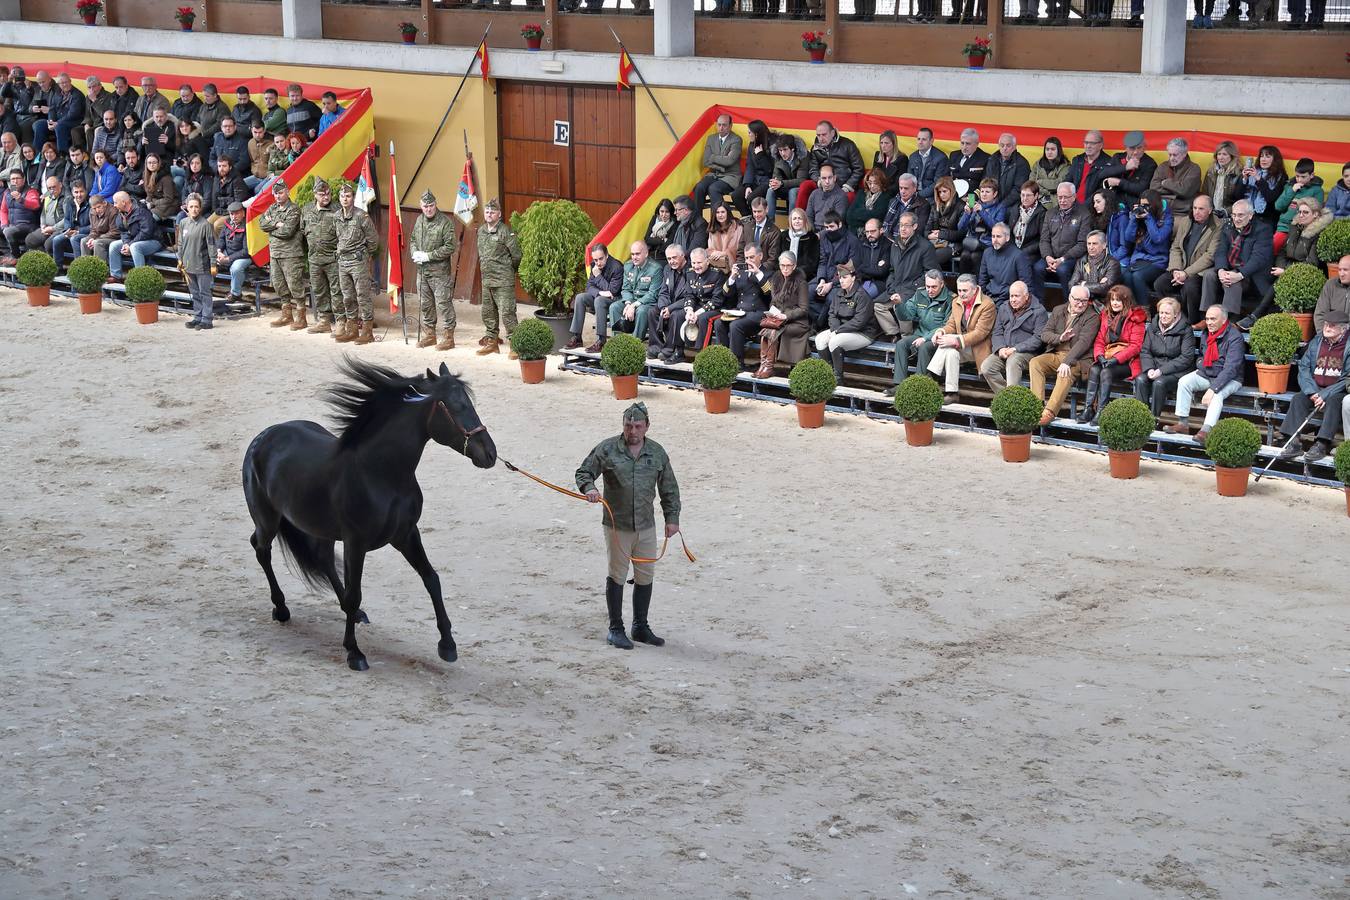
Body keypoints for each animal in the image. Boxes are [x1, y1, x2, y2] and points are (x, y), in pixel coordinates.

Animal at [243, 356, 496, 669]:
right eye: (457, 406)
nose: (490, 454)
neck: (379, 473)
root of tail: (264, 436)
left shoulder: (406, 535)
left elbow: (431, 579)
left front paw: (447, 645)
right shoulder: (356, 543)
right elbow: (355, 593)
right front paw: (354, 652)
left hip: (321, 528)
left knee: (323, 558)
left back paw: (354, 614)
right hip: (268, 519)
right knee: (261, 549)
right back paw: (281, 608)